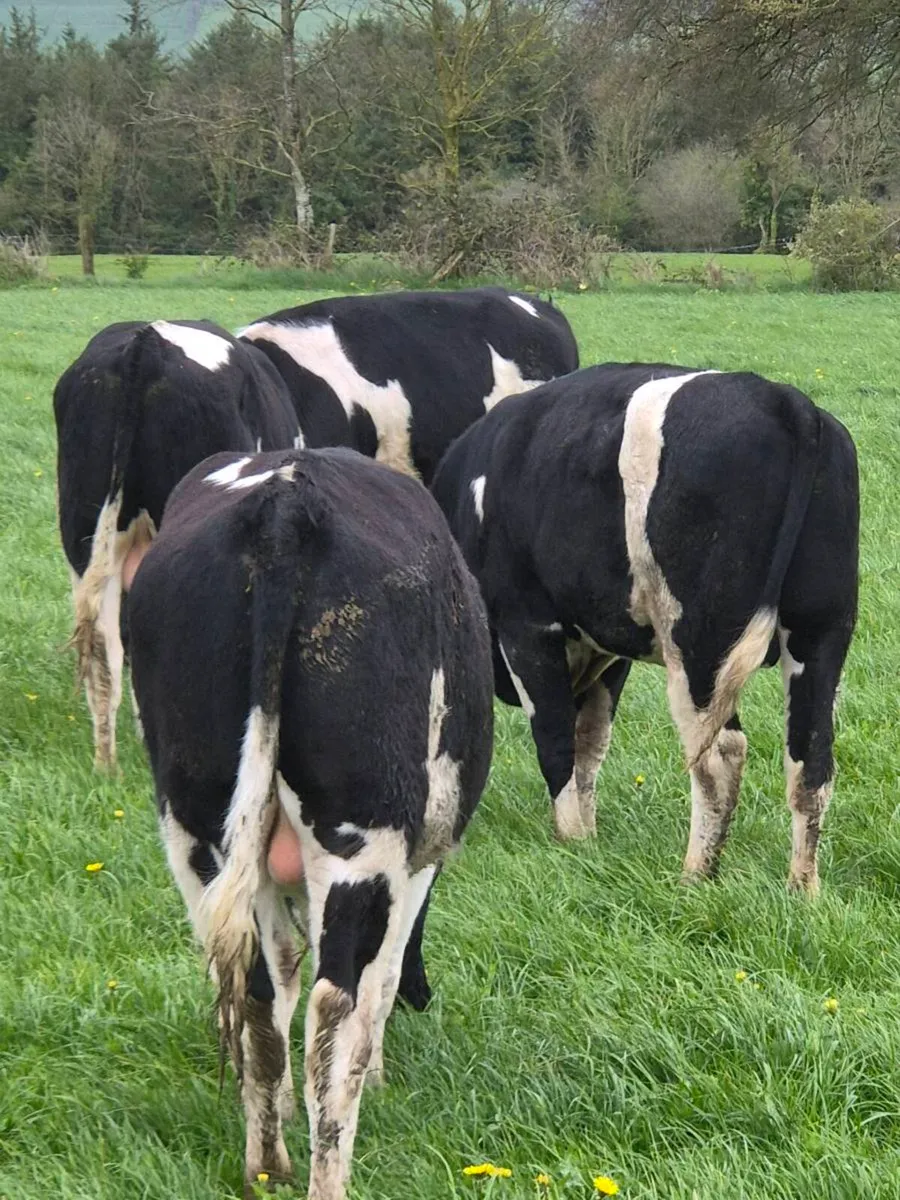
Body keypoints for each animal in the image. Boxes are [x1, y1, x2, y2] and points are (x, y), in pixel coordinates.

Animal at [126, 447, 494, 1199]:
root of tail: (287, 503)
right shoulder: (417, 864)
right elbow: (382, 978)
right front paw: (376, 1075)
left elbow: (282, 970)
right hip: (362, 838)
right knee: (336, 1005)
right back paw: (328, 1175)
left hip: (198, 831)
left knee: (254, 991)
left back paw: (267, 1163)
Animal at [431, 363, 859, 894]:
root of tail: (782, 399)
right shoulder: (607, 647)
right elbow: (590, 743)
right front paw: (588, 835)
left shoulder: (526, 627)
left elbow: (555, 738)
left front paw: (571, 839)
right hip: (821, 632)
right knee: (810, 760)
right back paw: (802, 891)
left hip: (700, 643)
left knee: (718, 755)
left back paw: (695, 876)